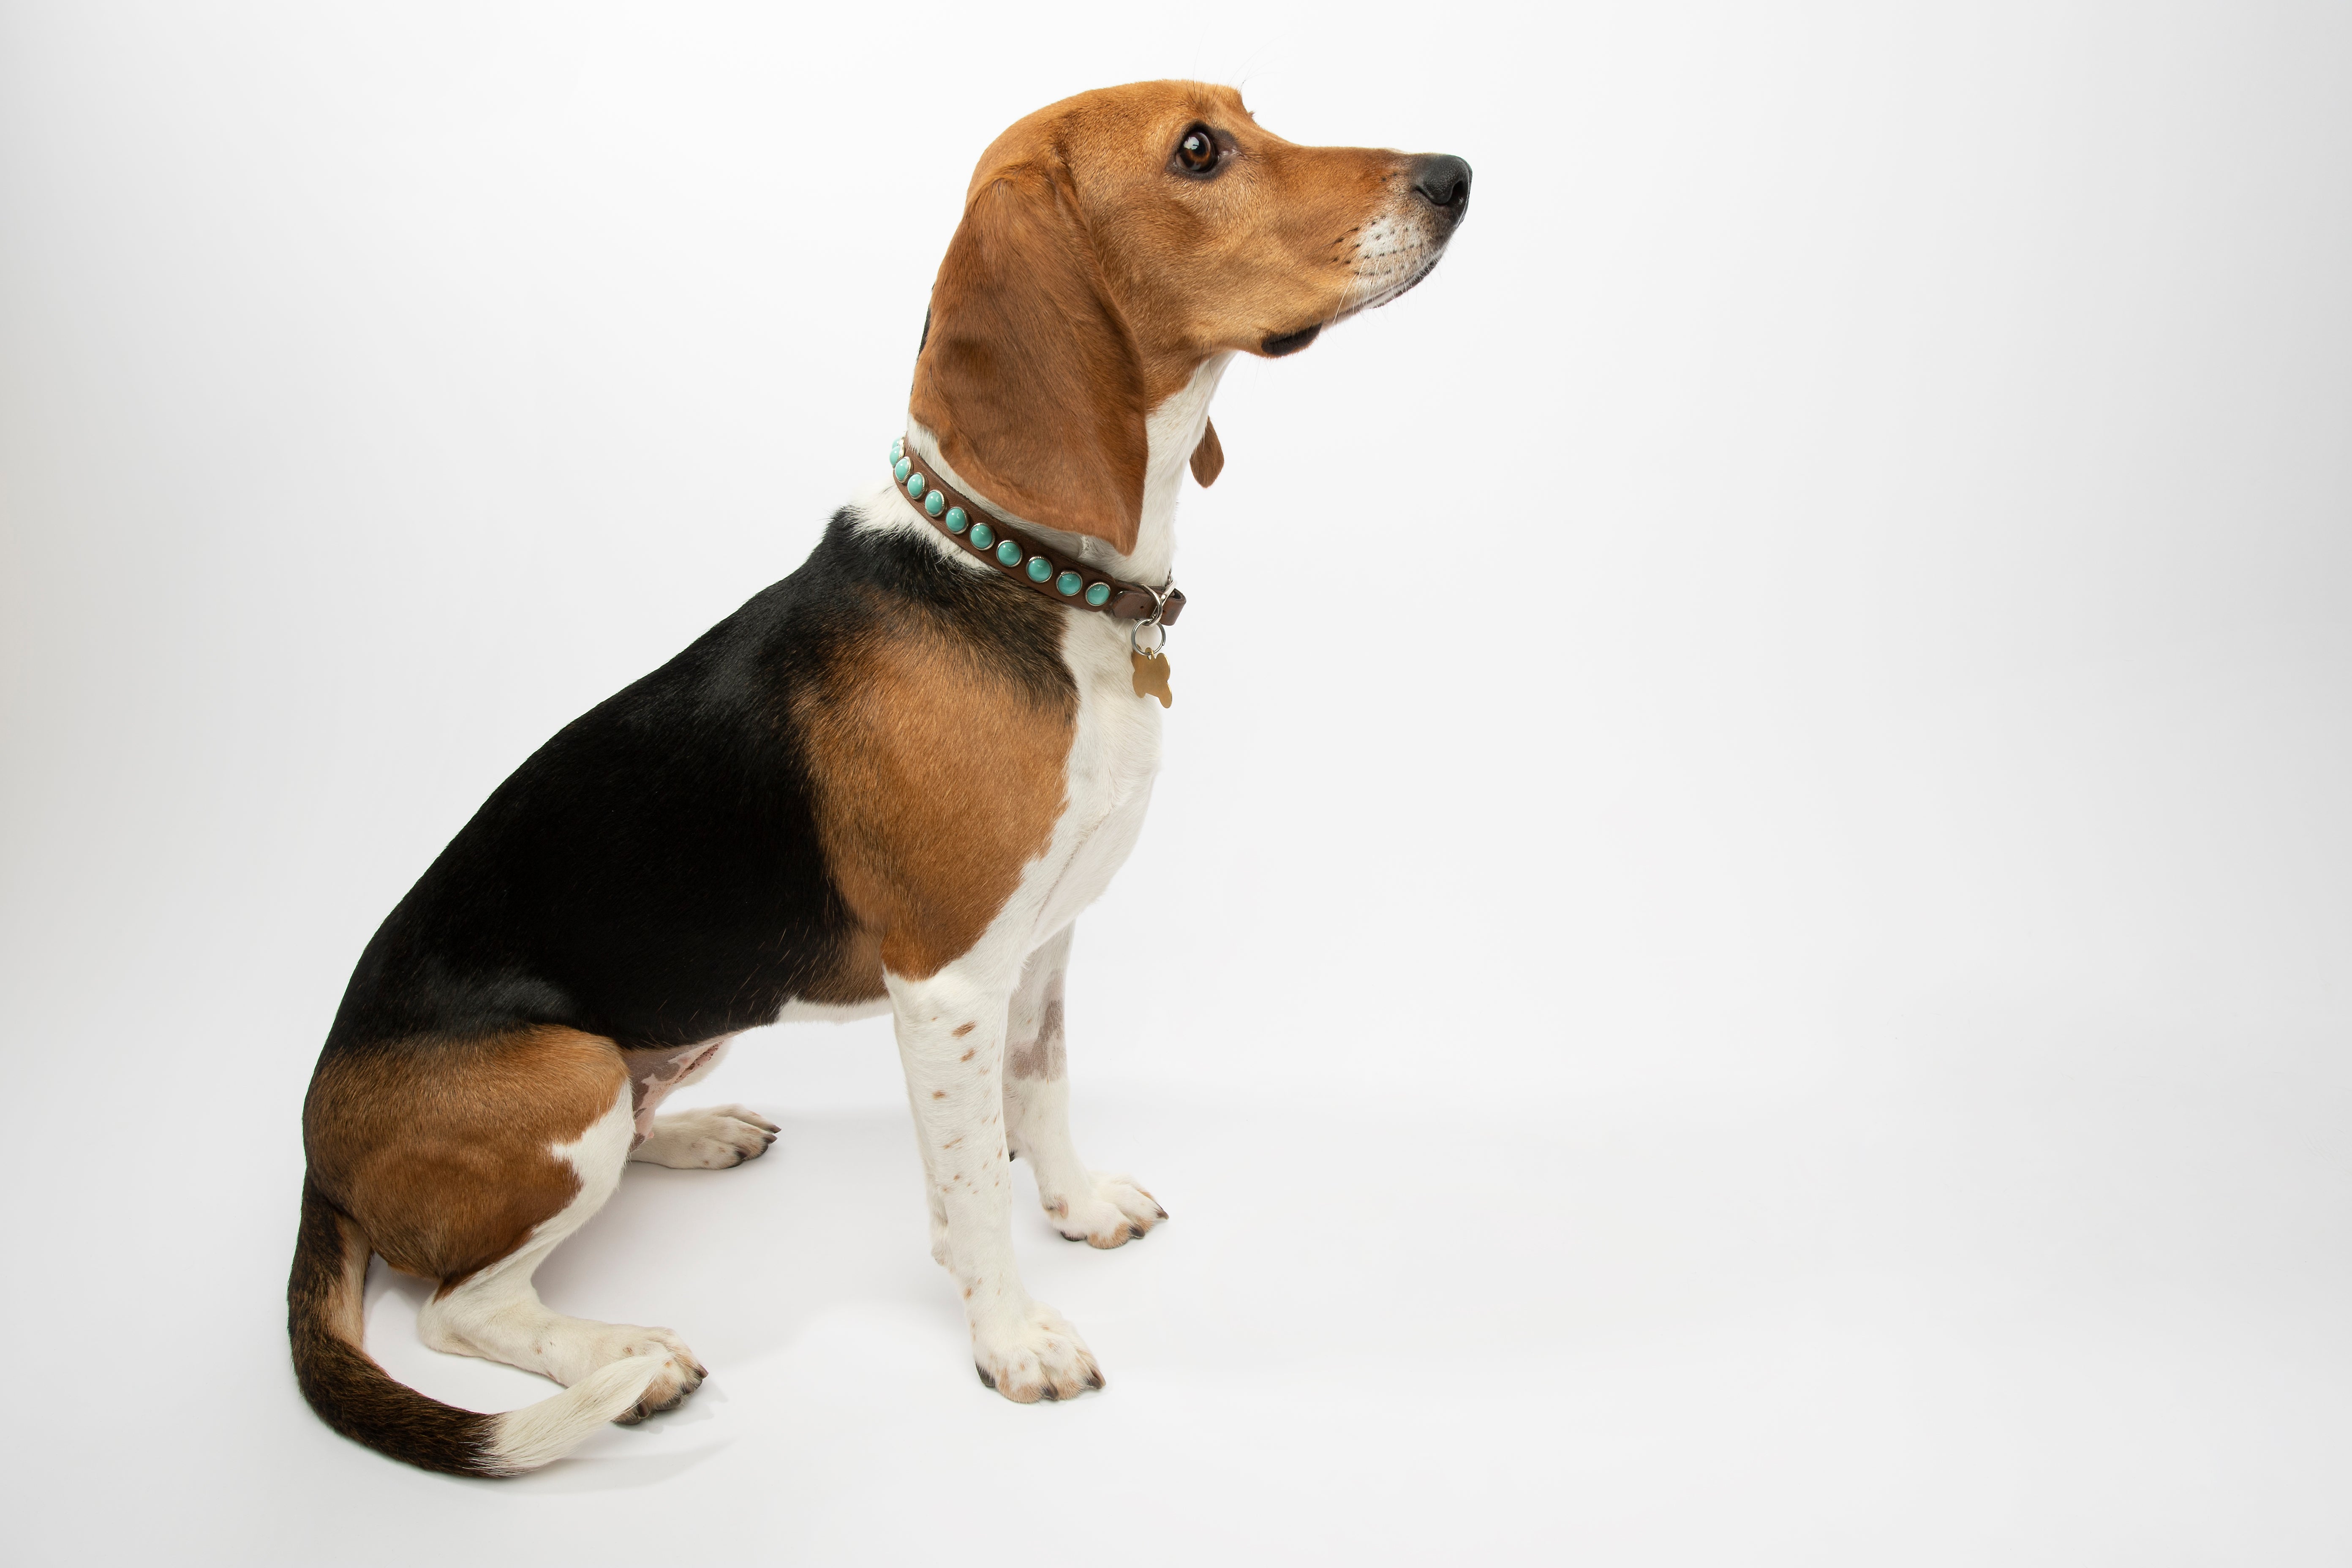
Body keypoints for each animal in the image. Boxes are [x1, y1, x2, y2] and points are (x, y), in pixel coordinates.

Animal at [289, 76, 1467, 1476]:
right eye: (1198, 151)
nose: (1454, 177)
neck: (1024, 571)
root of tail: (316, 1152)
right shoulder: (948, 982)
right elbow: (968, 1188)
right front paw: (1013, 1339)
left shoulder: (1046, 940)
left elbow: (1042, 1088)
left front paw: (1078, 1206)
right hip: (563, 1078)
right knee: (460, 1306)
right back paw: (629, 1362)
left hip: (653, 1054)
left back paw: (697, 1132)